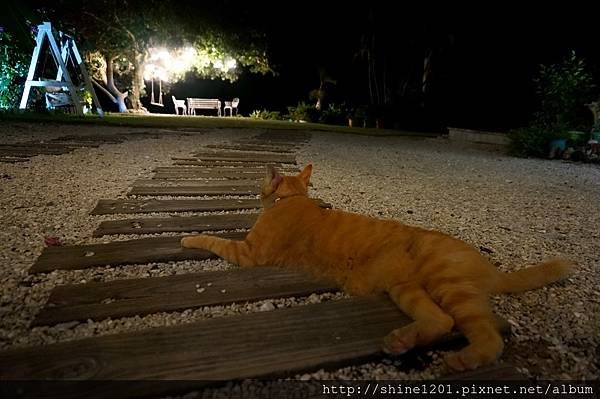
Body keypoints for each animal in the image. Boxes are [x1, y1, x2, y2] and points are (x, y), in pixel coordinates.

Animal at [182, 165, 572, 372]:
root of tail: (489, 266)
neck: (291, 199)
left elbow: (213, 239)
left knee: (488, 337)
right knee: (440, 321)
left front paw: (188, 237)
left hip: (448, 286)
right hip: (407, 289)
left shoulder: (250, 253)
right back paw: (400, 341)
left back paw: (462, 359)